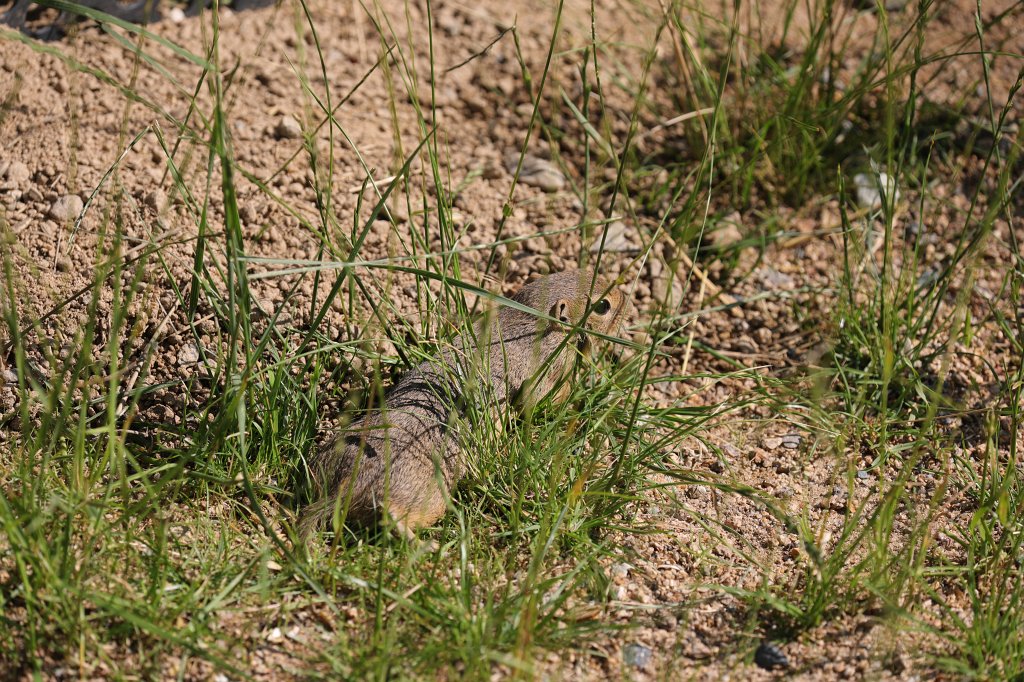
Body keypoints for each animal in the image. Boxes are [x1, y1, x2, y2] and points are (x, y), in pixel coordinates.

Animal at [299, 268, 630, 542]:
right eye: (603, 305)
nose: (626, 298)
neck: (528, 318)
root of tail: (343, 489)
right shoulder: (548, 368)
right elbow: (538, 403)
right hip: (429, 498)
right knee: (389, 518)